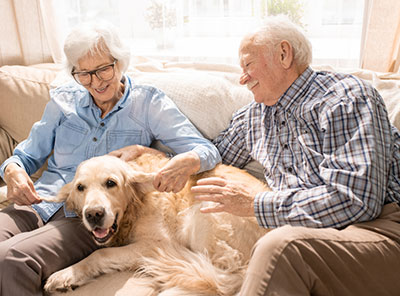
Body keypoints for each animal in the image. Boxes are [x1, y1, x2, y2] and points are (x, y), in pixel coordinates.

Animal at [42, 154, 270, 294]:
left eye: (111, 183)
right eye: (80, 187)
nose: (93, 214)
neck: (134, 208)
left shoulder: (156, 244)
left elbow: (100, 253)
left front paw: (66, 274)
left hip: (206, 208)